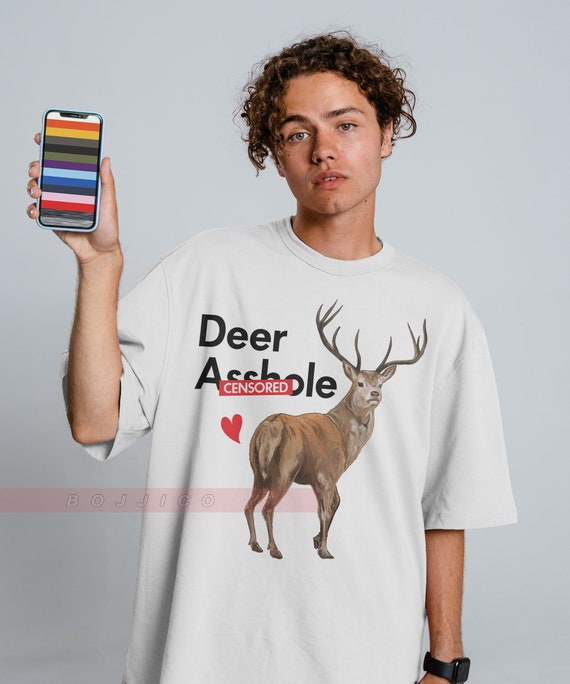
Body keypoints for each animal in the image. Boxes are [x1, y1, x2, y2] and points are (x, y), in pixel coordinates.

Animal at [244, 302, 428, 559]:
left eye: (380, 384)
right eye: (359, 383)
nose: (375, 394)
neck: (346, 442)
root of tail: (268, 428)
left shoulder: (320, 477)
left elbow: (336, 504)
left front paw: (316, 540)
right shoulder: (327, 472)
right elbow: (326, 510)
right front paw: (324, 550)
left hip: (257, 470)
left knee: (249, 504)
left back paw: (255, 544)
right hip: (284, 469)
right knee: (268, 508)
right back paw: (275, 549)